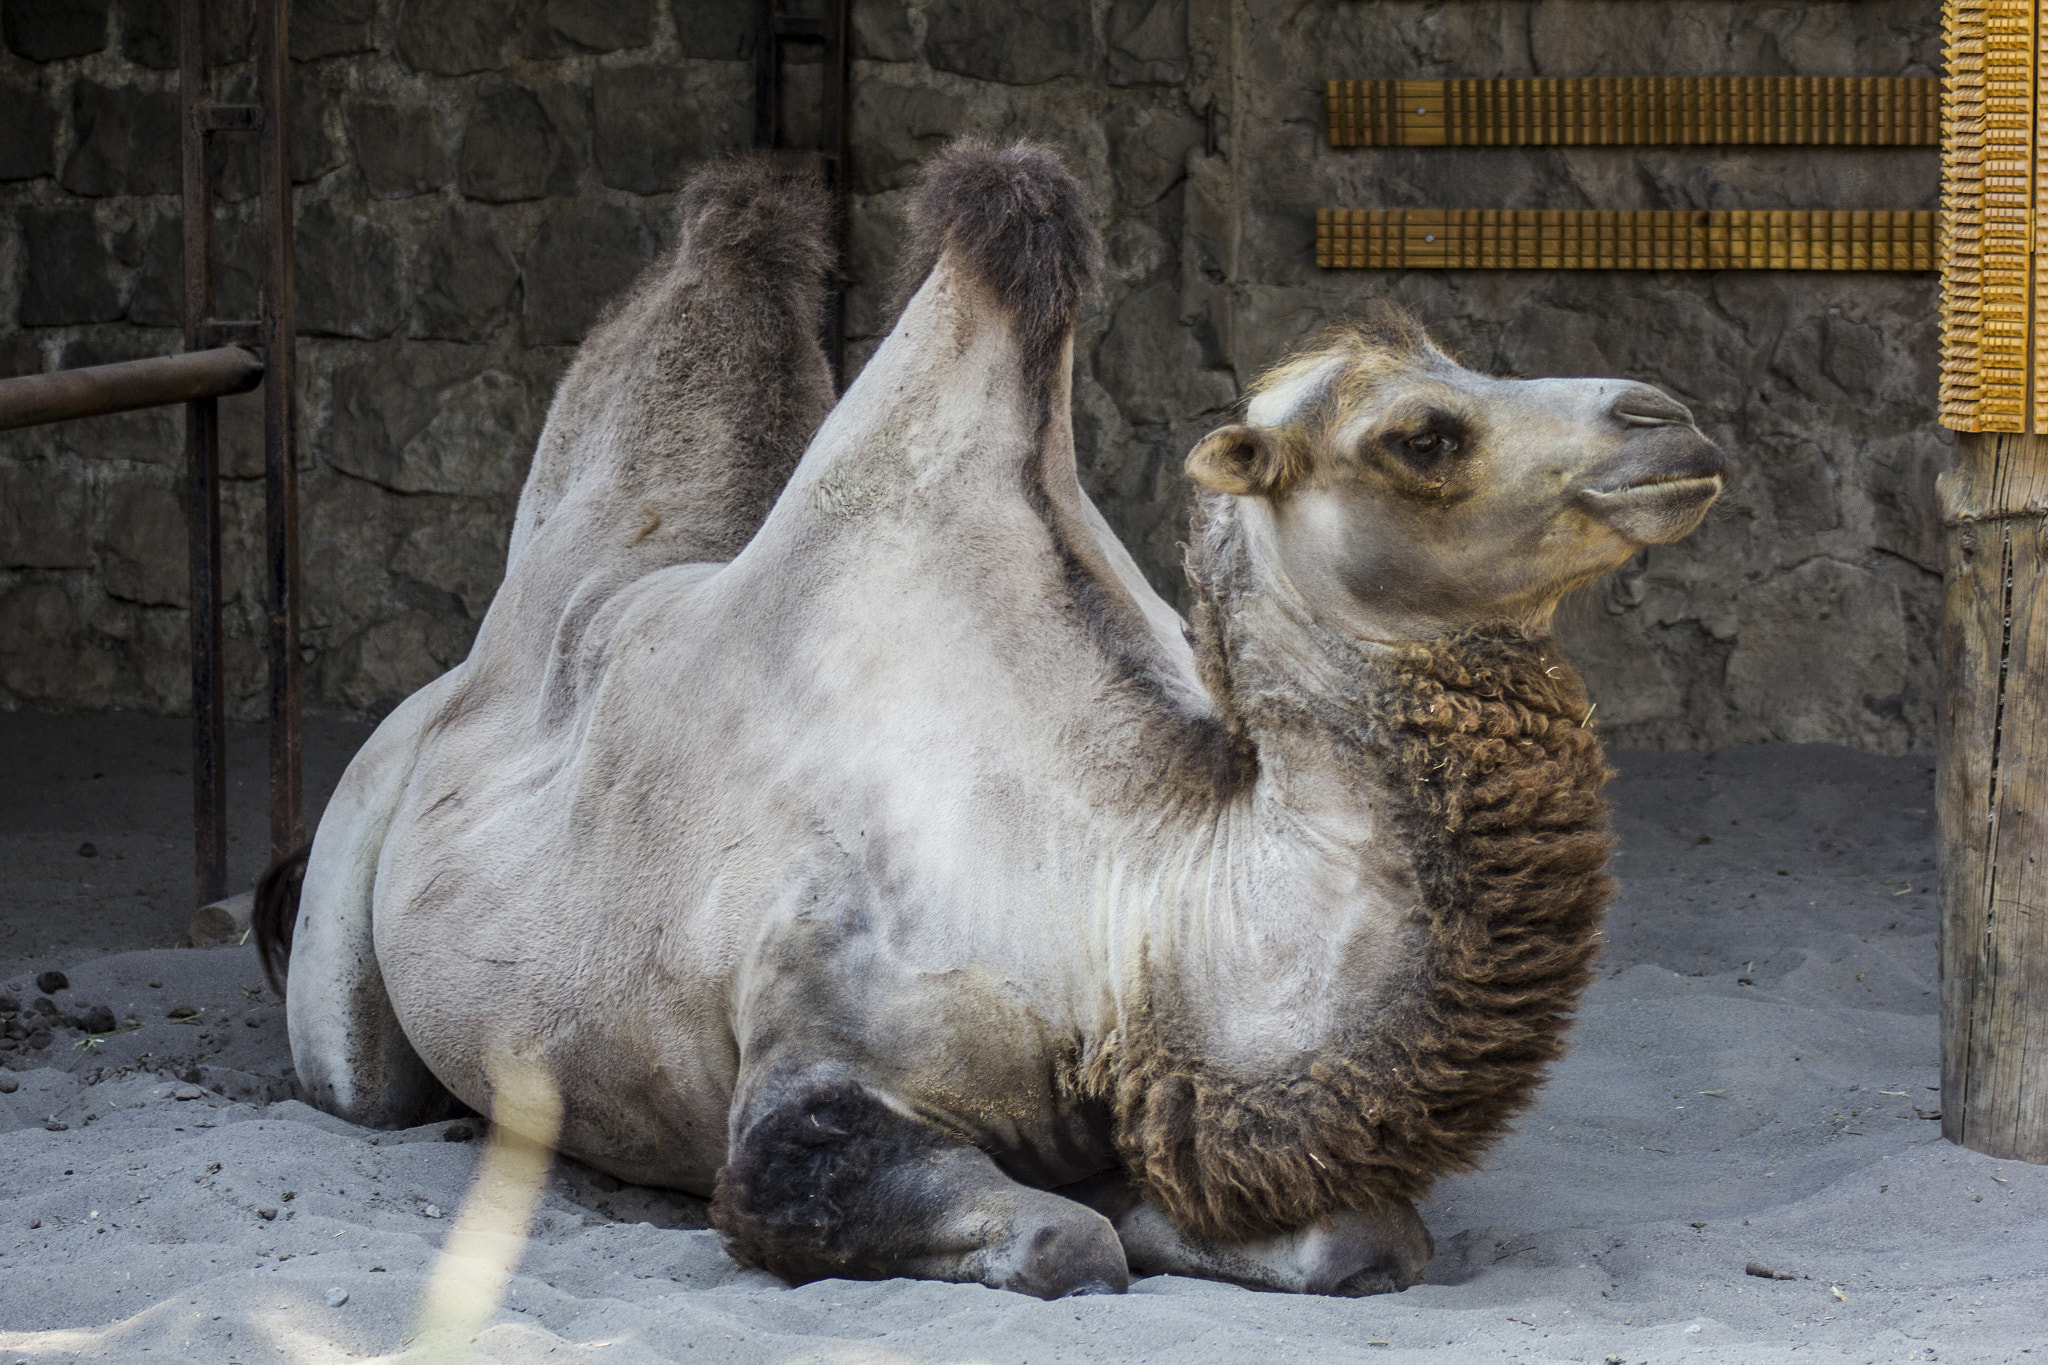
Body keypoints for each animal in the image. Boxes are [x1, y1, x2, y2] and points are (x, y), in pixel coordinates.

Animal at [260, 141, 1728, 1301]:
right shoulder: (806, 1074)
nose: (1669, 419)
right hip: (356, 930)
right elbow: (1063, 1242)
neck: (1117, 905)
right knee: (355, 1074)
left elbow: (1360, 1238)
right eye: (1421, 434)